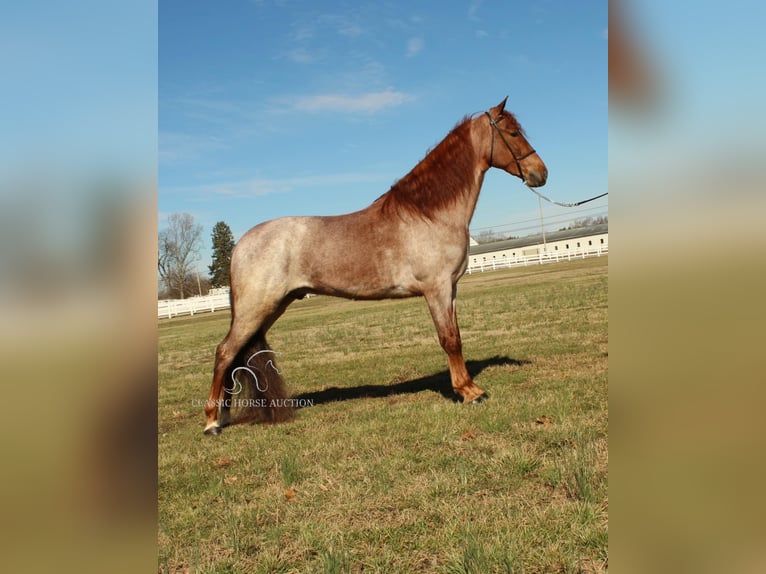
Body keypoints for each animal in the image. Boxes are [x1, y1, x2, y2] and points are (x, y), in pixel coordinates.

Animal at [204, 98, 548, 436]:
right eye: (513, 133)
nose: (541, 173)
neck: (430, 214)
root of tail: (242, 244)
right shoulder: (436, 289)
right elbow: (449, 339)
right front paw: (469, 392)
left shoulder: (450, 290)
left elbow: (456, 335)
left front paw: (468, 387)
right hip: (256, 308)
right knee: (225, 352)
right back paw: (211, 422)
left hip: (273, 307)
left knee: (238, 356)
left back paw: (225, 416)